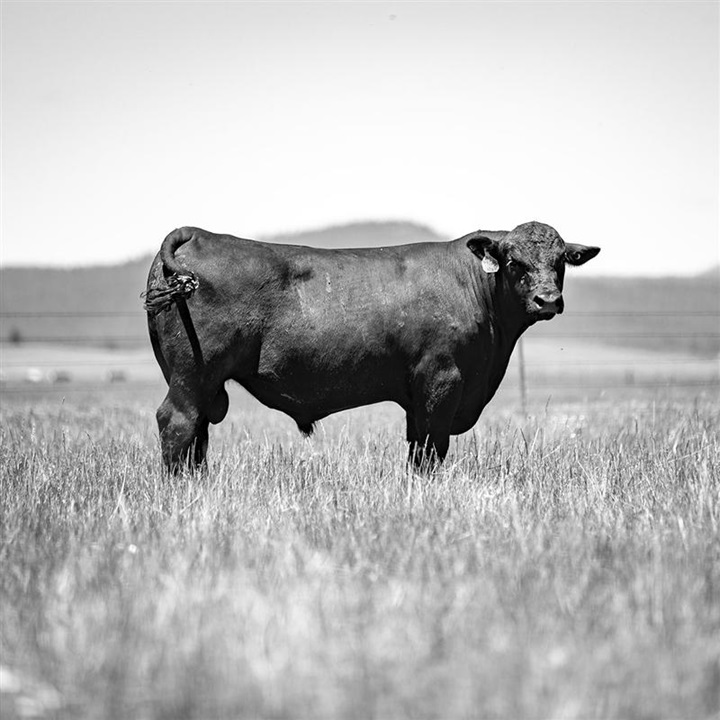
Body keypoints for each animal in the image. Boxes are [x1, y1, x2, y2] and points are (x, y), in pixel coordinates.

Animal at [144, 221, 599, 472]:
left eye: (560, 260)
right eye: (513, 261)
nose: (547, 300)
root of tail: (197, 234)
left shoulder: (419, 397)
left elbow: (416, 449)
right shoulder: (442, 382)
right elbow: (431, 450)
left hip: (198, 381)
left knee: (198, 436)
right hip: (191, 375)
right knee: (177, 424)